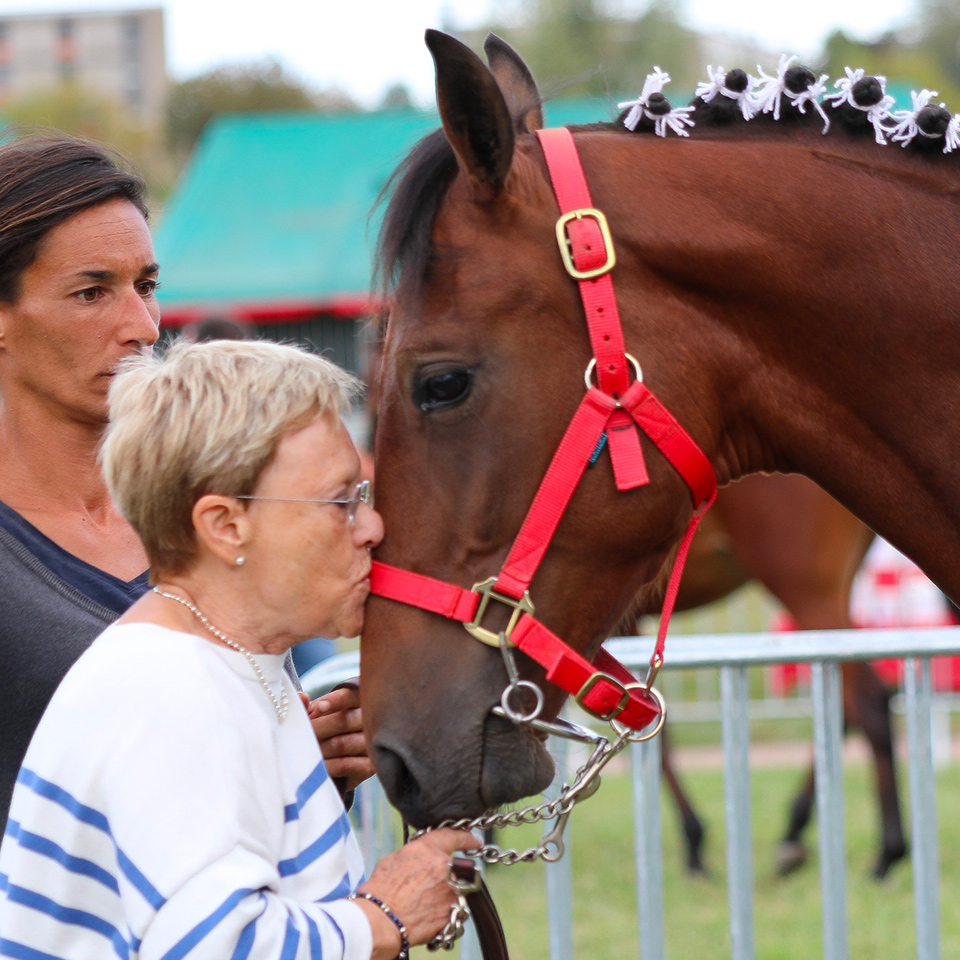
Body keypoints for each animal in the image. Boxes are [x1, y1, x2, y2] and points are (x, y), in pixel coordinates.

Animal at [660, 472, 908, 876]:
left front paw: (693, 841)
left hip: (803, 585)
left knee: (869, 699)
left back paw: (888, 851)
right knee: (846, 706)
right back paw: (795, 832)